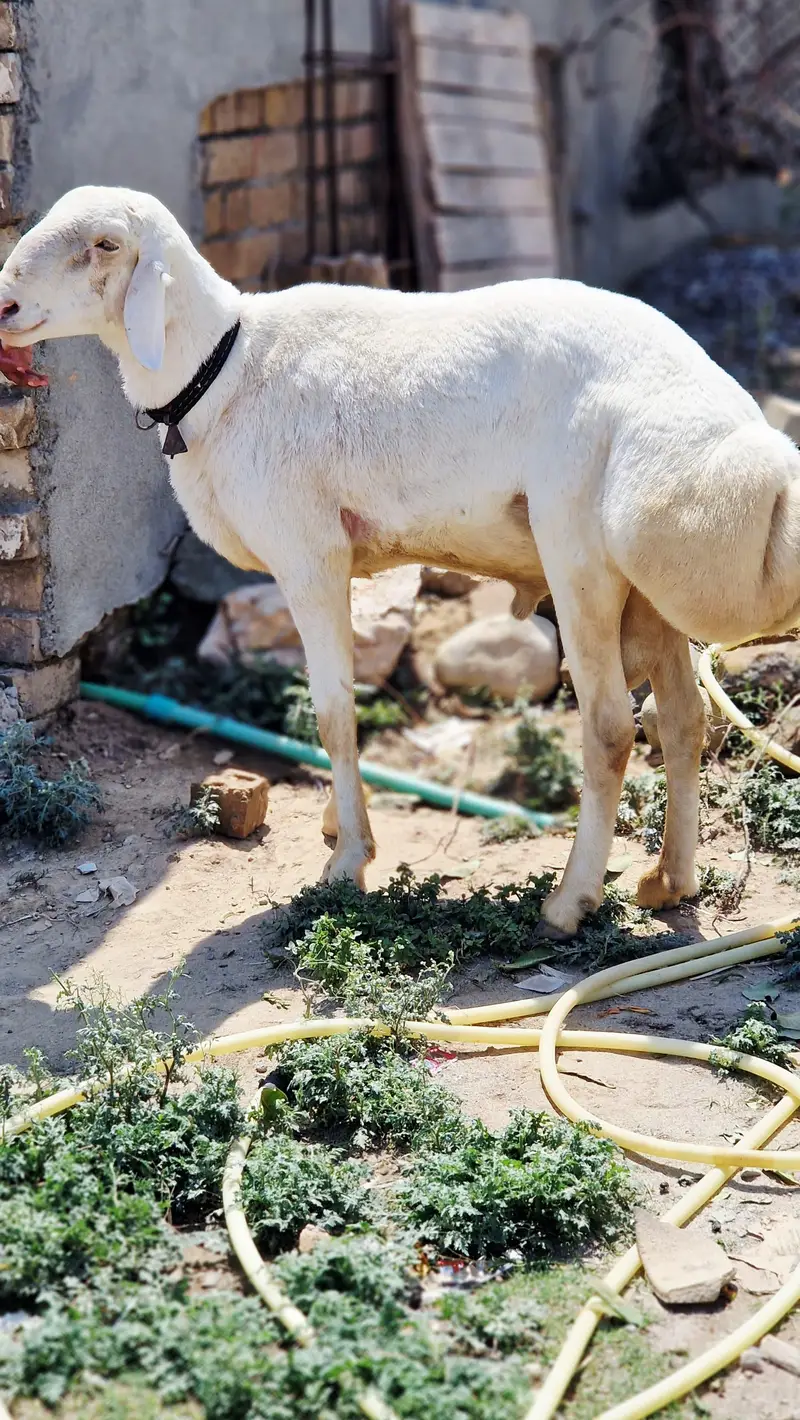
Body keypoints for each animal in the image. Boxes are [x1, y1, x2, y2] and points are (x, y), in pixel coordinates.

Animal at [1, 185, 799, 938]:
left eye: (106, 244)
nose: (4, 305)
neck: (221, 370)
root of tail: (748, 439)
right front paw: (335, 825)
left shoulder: (310, 556)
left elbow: (332, 715)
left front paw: (348, 860)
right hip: (644, 589)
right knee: (685, 720)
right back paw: (671, 881)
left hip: (581, 557)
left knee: (609, 728)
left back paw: (570, 903)